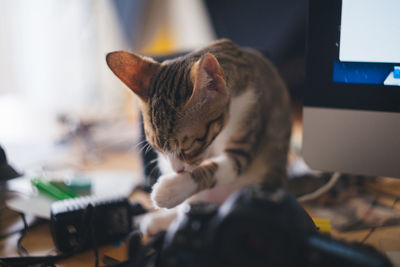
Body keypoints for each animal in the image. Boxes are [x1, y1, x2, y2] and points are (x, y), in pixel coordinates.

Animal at [106, 38, 290, 236]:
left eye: (188, 146)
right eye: (157, 149)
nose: (177, 171)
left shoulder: (250, 124)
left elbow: (218, 167)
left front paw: (170, 190)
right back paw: (157, 221)